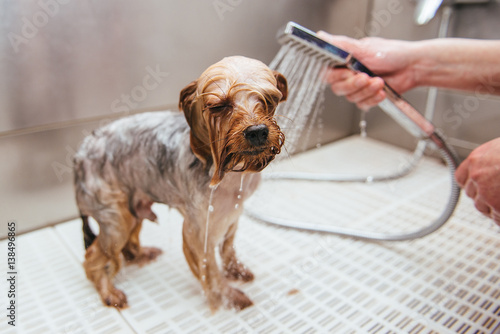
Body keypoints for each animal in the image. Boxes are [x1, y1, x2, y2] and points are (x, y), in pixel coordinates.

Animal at [72, 56, 288, 310]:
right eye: (219, 106)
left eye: (270, 100)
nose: (257, 131)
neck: (230, 171)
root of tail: (80, 155)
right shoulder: (199, 228)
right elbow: (210, 269)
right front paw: (228, 297)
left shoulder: (233, 212)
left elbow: (227, 248)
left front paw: (236, 270)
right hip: (115, 218)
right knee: (93, 257)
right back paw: (109, 293)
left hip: (132, 207)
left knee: (127, 245)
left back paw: (142, 254)